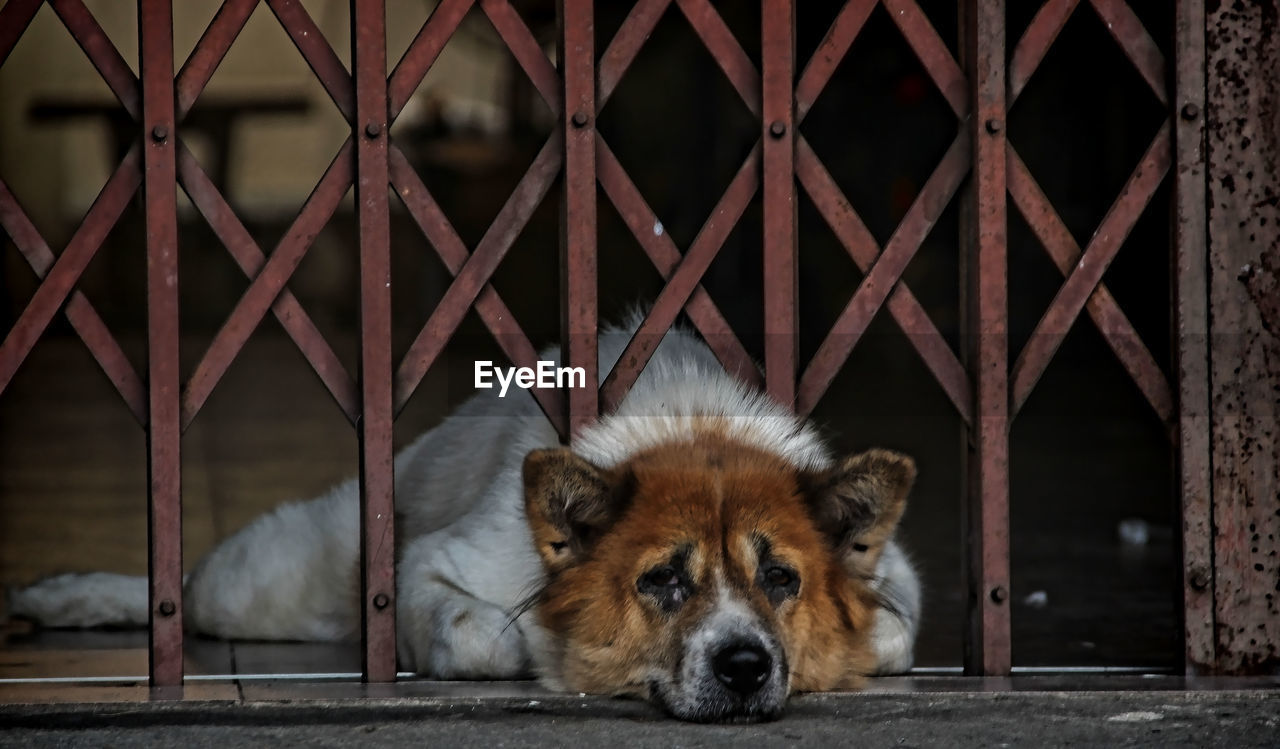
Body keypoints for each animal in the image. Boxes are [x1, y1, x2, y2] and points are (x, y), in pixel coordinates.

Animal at [10, 318, 921, 722]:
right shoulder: (434, 564)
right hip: (258, 587)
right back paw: (64, 595)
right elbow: (489, 635)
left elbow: (891, 631)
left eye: (781, 578)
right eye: (662, 579)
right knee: (183, 584)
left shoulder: (895, 580)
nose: (743, 667)